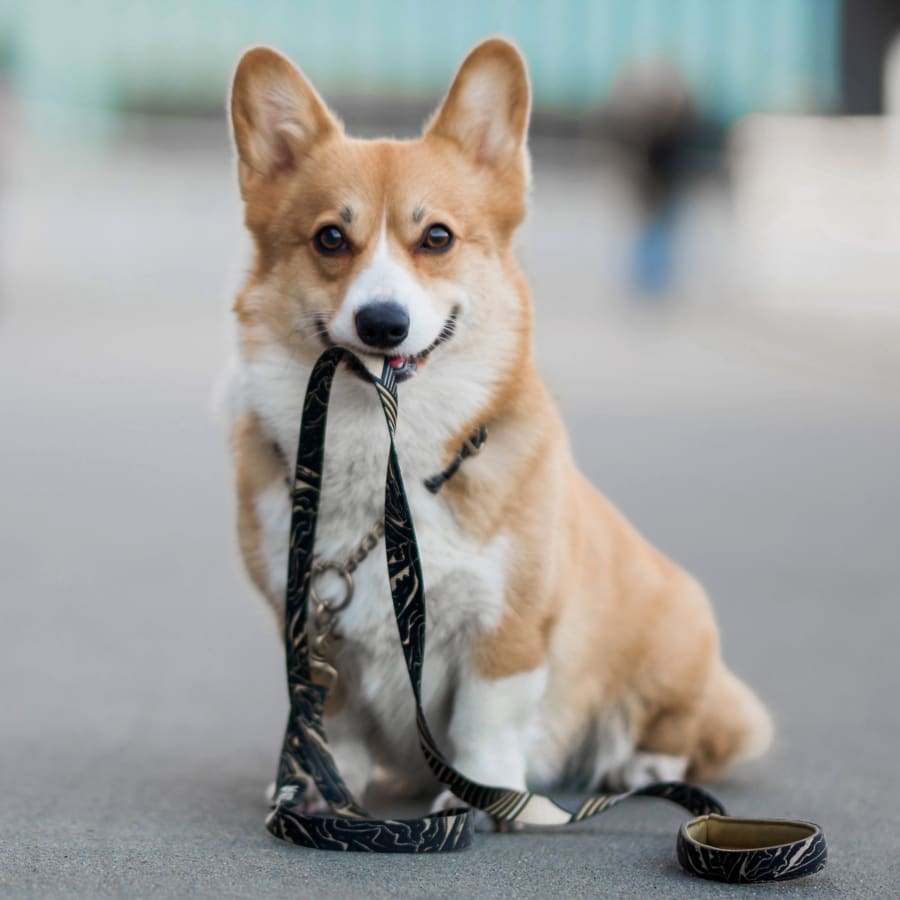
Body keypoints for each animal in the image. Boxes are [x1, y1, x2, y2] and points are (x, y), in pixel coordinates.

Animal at [229, 38, 768, 816]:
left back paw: (639, 765)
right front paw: (324, 789)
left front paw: (480, 798)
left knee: (691, 729)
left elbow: (484, 719)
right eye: (330, 237)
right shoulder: (309, 629)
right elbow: (334, 718)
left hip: (674, 634)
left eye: (437, 237)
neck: (386, 463)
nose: (383, 322)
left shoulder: (508, 626)